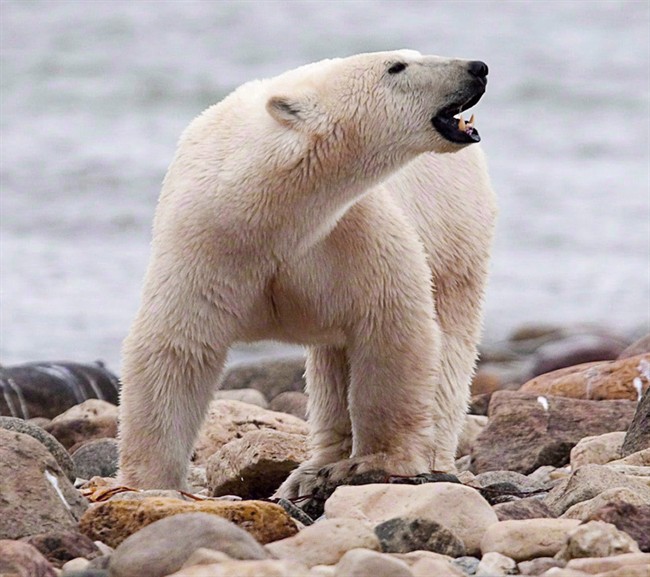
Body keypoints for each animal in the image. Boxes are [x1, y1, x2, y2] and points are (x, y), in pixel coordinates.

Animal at [117, 50, 496, 495]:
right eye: (396, 66)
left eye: (414, 55)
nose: (477, 68)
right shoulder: (204, 245)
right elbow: (177, 348)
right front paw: (148, 483)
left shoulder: (351, 234)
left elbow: (391, 328)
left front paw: (379, 461)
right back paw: (312, 470)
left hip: (455, 236)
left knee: (449, 346)